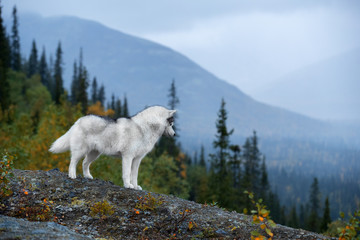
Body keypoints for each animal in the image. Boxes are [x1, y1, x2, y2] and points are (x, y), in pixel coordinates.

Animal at [48, 106, 176, 190]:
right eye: (171, 124)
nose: (174, 134)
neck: (144, 128)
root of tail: (79, 120)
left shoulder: (137, 159)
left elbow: (134, 175)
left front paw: (135, 186)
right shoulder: (127, 157)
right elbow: (127, 174)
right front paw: (128, 185)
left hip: (94, 154)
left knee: (84, 163)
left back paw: (88, 176)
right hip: (81, 151)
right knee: (73, 162)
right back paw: (72, 175)